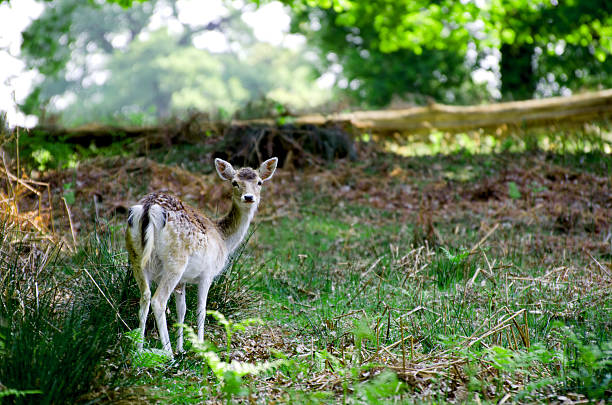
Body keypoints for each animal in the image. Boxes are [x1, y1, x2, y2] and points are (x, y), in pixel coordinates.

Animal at [125, 157, 278, 354]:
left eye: (259, 182)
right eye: (234, 182)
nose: (249, 197)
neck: (223, 239)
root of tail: (148, 208)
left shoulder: (182, 281)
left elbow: (181, 309)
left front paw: (182, 348)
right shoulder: (208, 273)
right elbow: (201, 309)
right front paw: (200, 348)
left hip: (135, 257)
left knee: (144, 296)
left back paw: (138, 350)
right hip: (175, 261)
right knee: (158, 301)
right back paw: (168, 353)